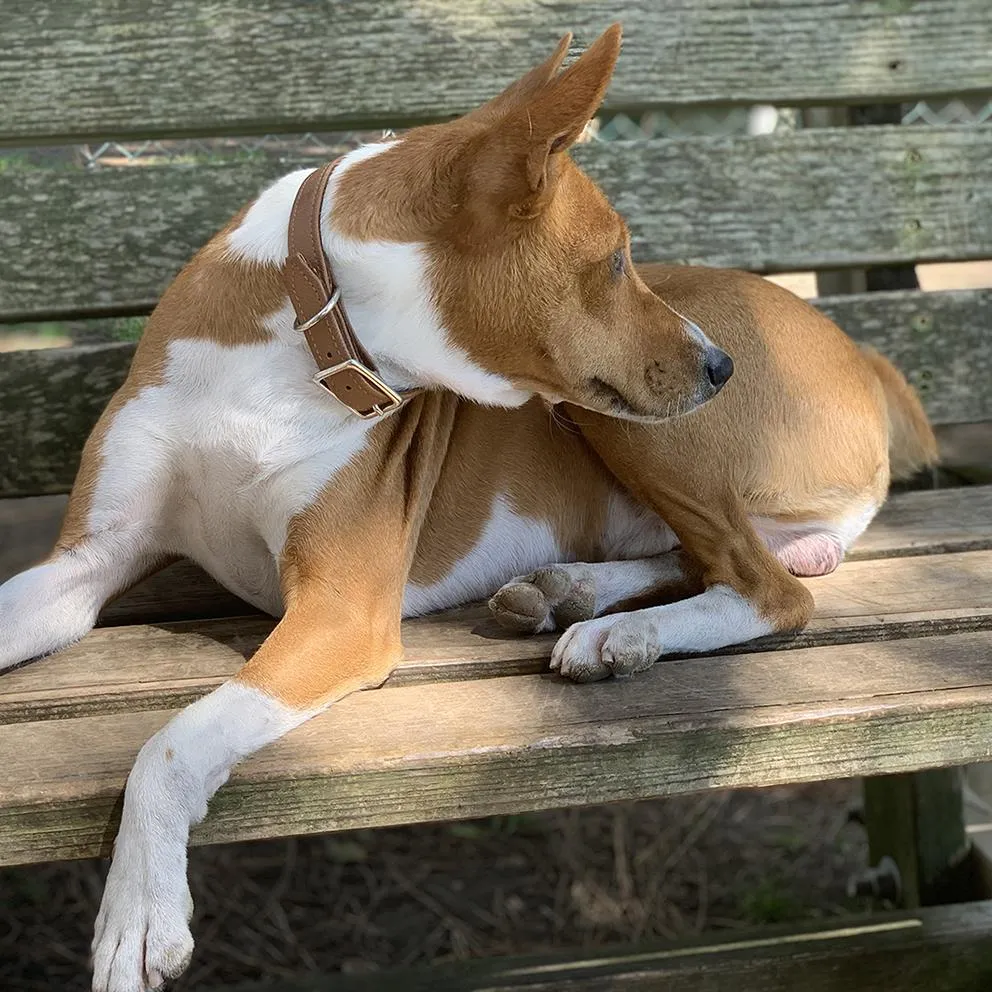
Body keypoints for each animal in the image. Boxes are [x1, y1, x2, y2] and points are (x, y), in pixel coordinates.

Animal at [0, 25, 936, 992]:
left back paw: (619, 632)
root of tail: (863, 353)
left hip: (616, 421)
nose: (721, 368)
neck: (297, 339)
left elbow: (171, 740)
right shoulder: (87, 561)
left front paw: (140, 907)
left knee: (769, 588)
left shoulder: (341, 611)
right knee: (709, 557)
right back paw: (576, 597)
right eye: (616, 260)